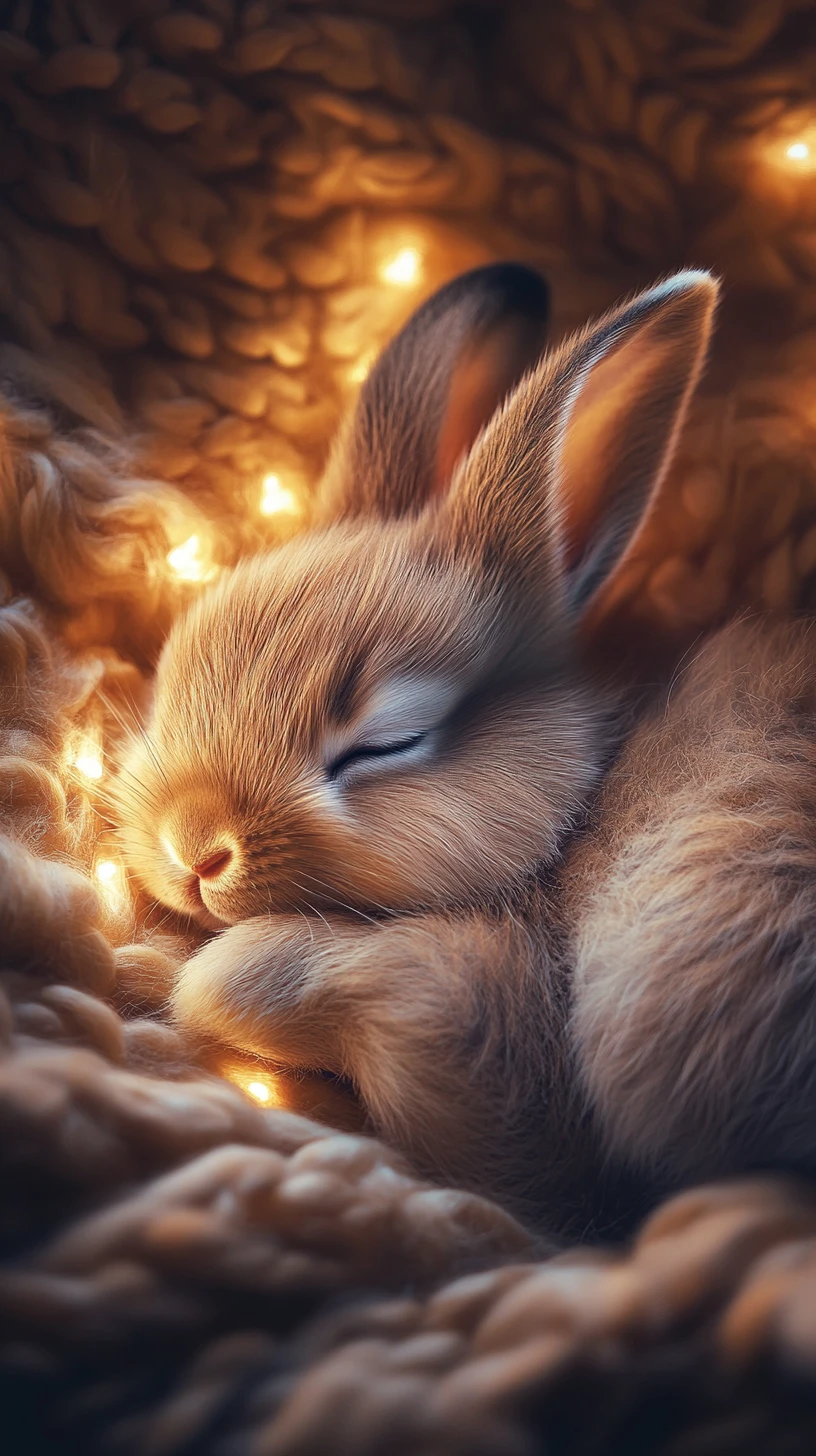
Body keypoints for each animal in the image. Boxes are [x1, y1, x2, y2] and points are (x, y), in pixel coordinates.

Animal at [117, 259, 816, 1235]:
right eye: (176, 667)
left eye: (387, 744)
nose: (195, 846)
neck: (576, 810)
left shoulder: (471, 1028)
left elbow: (256, 978)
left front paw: (188, 978)